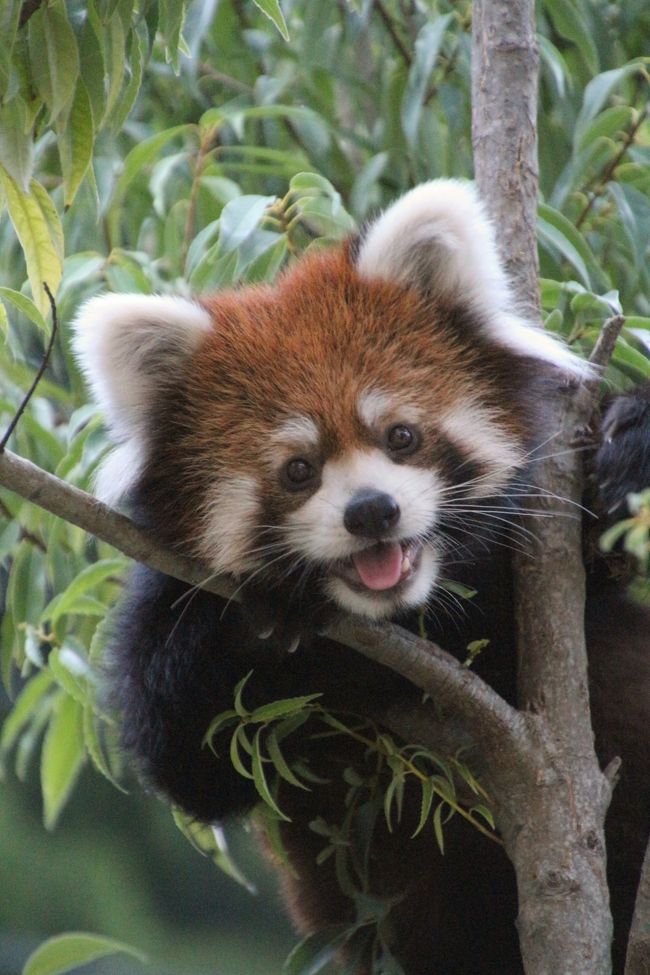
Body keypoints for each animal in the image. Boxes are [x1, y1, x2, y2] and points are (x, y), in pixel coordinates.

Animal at [71, 183, 648, 975]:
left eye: (400, 436)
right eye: (298, 470)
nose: (371, 511)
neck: (410, 616)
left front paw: (630, 446)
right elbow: (189, 756)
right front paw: (265, 616)